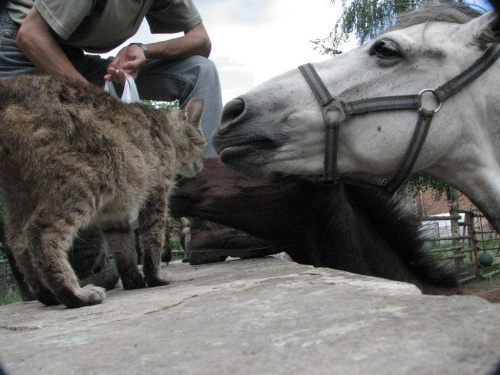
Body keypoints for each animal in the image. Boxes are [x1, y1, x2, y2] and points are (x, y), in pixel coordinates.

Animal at [0, 75, 205, 310]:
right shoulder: (156, 194)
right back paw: (75, 295)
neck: (162, 129)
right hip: (82, 183)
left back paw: (47, 295)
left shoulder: (115, 214)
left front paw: (134, 281)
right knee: (41, 232)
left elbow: (123, 249)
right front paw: (155, 278)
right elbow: (152, 241)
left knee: (19, 244)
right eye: (201, 143)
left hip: (18, 196)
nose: (202, 165)